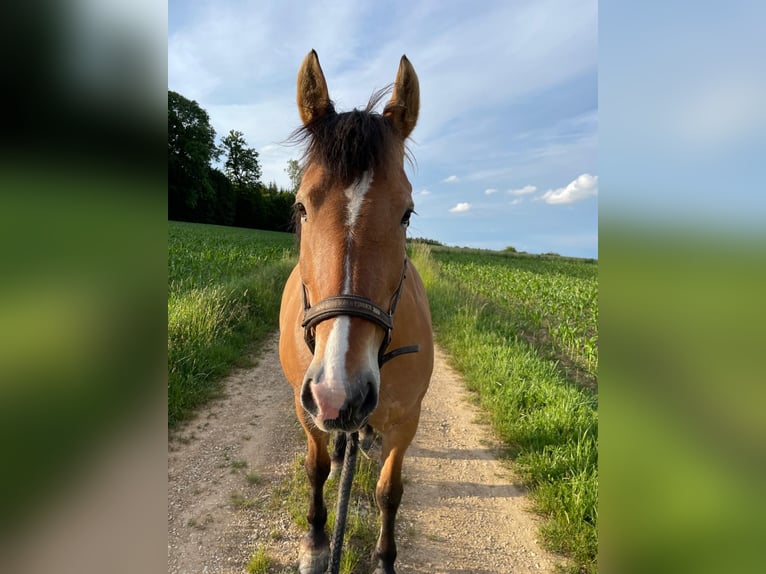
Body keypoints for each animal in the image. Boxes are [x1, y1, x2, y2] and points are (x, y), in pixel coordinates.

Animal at [280, 50, 436, 574]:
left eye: (407, 213)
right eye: (301, 206)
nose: (338, 394)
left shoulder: (407, 420)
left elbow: (390, 492)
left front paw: (385, 560)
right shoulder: (304, 406)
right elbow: (316, 467)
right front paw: (315, 542)